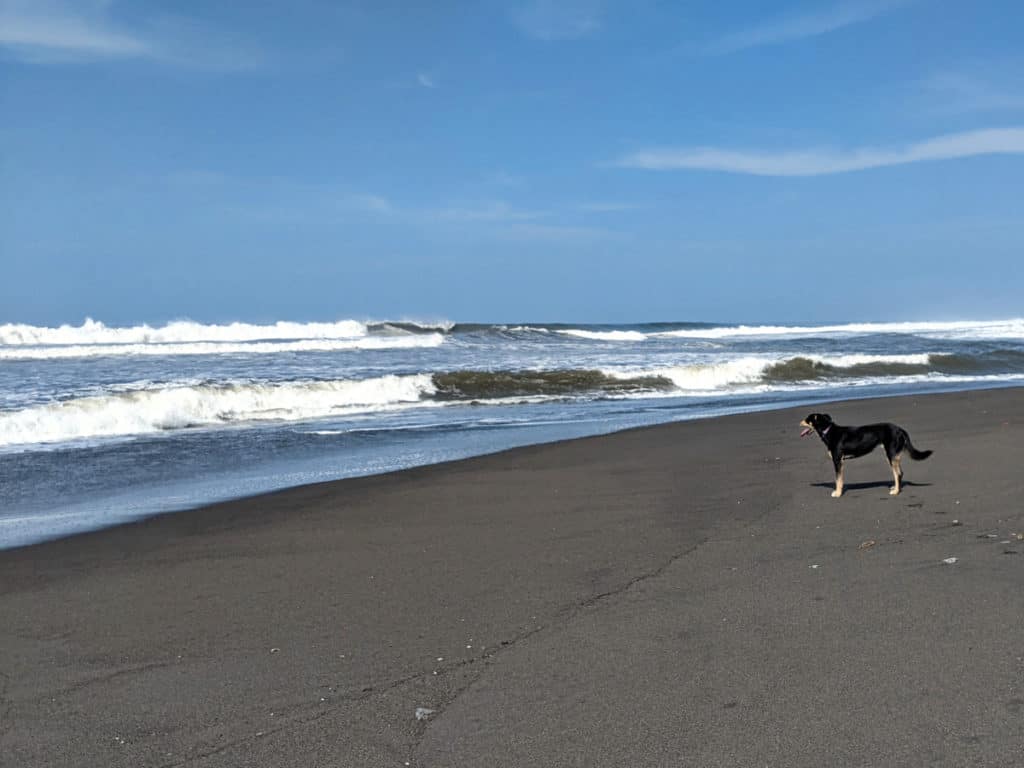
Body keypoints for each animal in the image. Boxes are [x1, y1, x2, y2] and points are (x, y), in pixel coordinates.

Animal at [798, 415, 937, 499]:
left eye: (807, 419)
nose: (799, 422)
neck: (828, 430)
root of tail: (900, 429)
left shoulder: (837, 460)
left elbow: (838, 479)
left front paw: (837, 493)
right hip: (893, 455)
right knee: (900, 473)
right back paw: (895, 488)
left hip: (891, 454)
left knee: (897, 473)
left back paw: (896, 492)